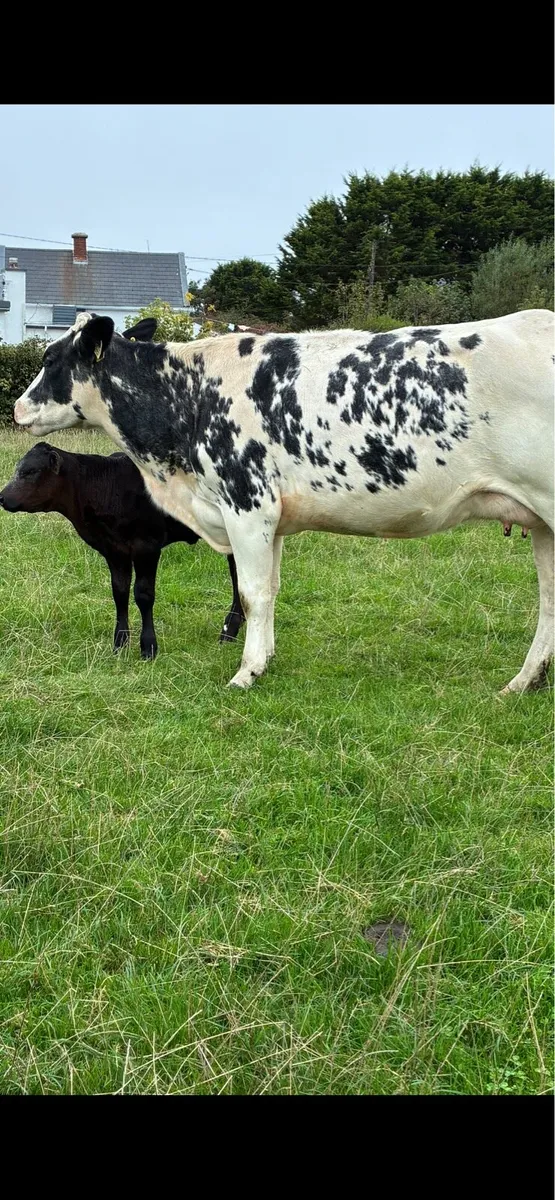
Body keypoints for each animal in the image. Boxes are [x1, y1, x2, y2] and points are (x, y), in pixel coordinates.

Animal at [12, 309, 554, 693]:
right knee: (548, 600)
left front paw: (245, 672)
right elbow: (269, 590)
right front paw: (265, 659)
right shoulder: (270, 518)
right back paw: (523, 682)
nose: (17, 408)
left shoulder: (246, 504)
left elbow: (251, 592)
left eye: (49, 360)